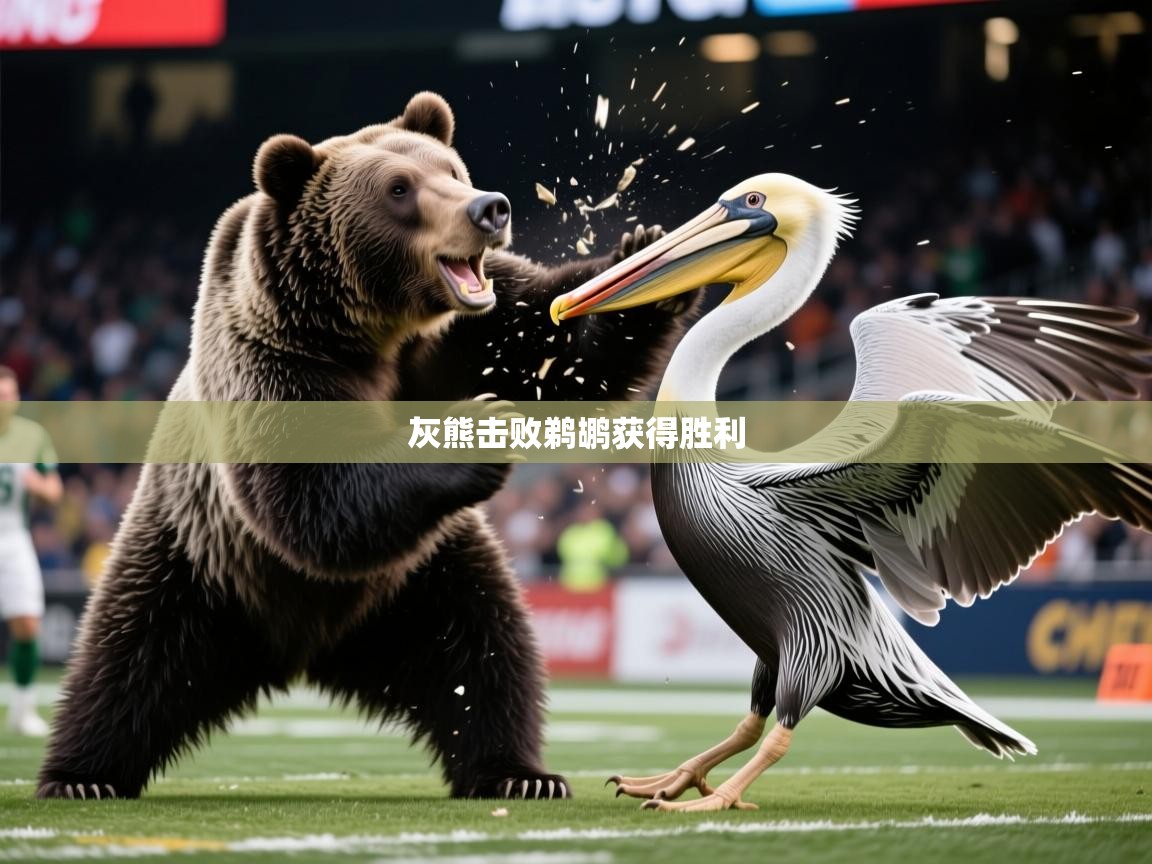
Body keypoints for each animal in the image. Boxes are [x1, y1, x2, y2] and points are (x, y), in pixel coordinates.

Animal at [37, 92, 698, 801]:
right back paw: (81, 775)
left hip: (422, 584)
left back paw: (516, 772)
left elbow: (553, 347)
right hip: (199, 561)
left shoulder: (469, 337)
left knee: (486, 648)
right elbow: (309, 489)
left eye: (451, 170)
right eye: (400, 189)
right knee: (129, 654)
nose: (489, 208)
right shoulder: (275, 361)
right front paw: (468, 439)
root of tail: (300, 653)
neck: (375, 332)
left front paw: (647, 263)